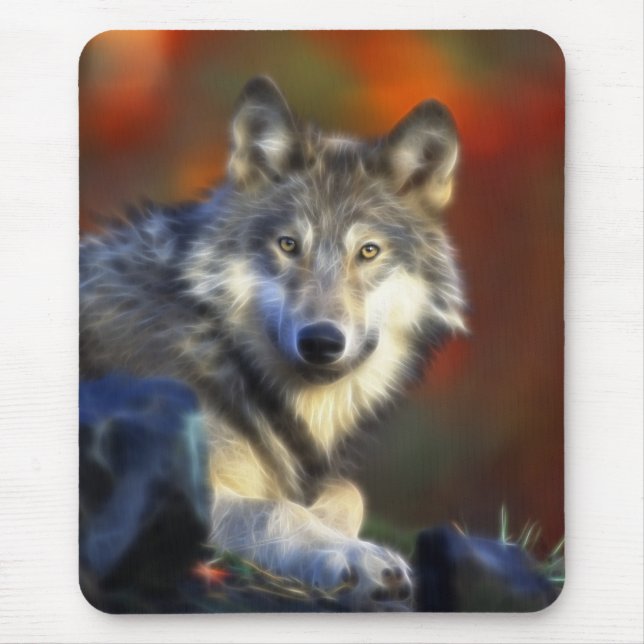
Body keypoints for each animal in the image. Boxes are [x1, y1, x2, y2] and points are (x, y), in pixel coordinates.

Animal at [80, 76, 466, 610]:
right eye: (288, 245)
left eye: (368, 252)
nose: (321, 342)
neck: (221, 349)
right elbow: (276, 510)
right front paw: (354, 556)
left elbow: (346, 492)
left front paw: (335, 528)